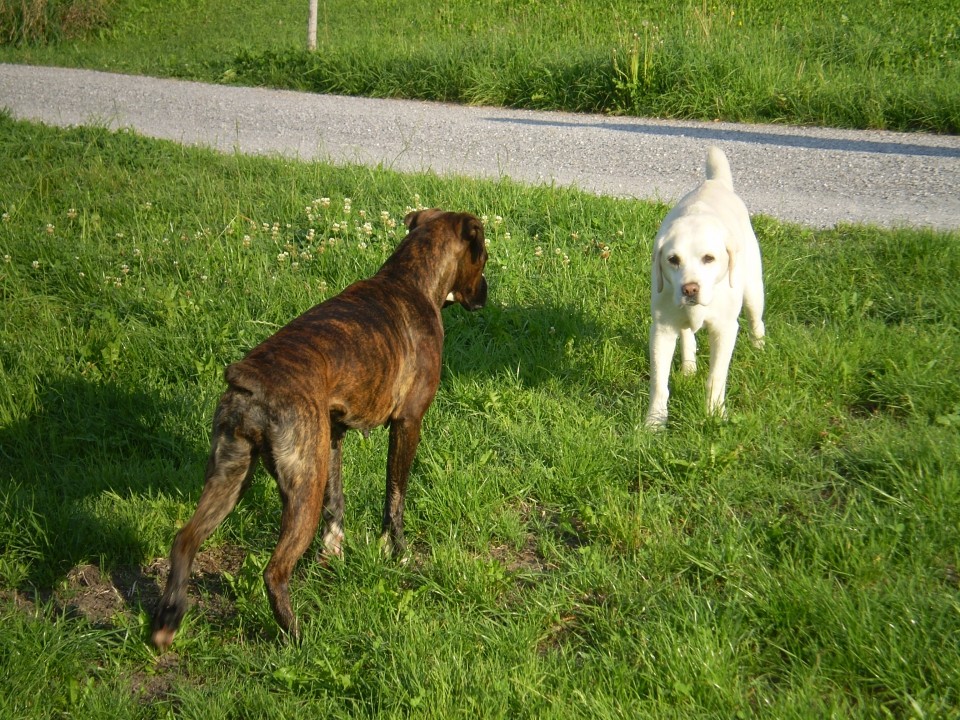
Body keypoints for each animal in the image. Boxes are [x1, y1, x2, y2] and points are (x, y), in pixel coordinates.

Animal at [156, 207, 496, 648]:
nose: (486, 292)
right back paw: (297, 637)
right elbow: (395, 497)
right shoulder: (407, 424)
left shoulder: (332, 435)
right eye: (483, 257)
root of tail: (250, 382)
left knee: (185, 540)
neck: (409, 279)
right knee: (274, 570)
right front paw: (398, 552)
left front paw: (333, 554)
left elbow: (338, 501)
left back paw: (168, 619)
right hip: (303, 485)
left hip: (231, 476)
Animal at [644, 147, 764, 428]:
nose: (690, 289)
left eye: (709, 258)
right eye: (673, 260)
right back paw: (688, 368)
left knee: (757, 322)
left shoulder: (725, 330)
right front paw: (654, 422)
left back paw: (760, 349)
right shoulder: (662, 330)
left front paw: (715, 414)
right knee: (688, 334)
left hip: (753, 291)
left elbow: (716, 378)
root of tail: (715, 182)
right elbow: (659, 383)